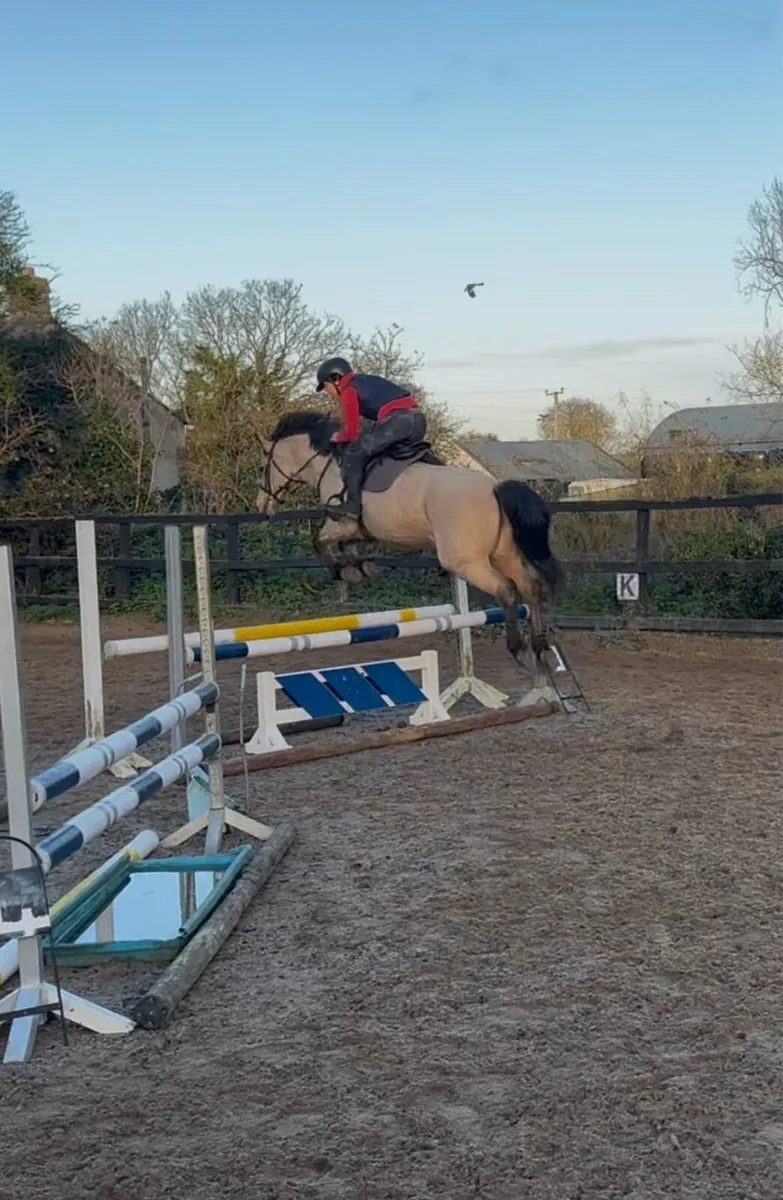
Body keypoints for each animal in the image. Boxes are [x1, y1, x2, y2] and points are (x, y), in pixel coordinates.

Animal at [257, 410, 563, 693]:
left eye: (261, 468)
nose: (262, 506)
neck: (329, 464)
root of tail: (494, 488)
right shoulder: (363, 531)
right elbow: (352, 546)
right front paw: (360, 566)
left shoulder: (340, 523)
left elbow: (319, 542)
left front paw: (346, 571)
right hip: (504, 555)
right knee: (530, 587)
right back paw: (541, 650)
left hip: (466, 562)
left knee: (507, 590)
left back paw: (520, 650)